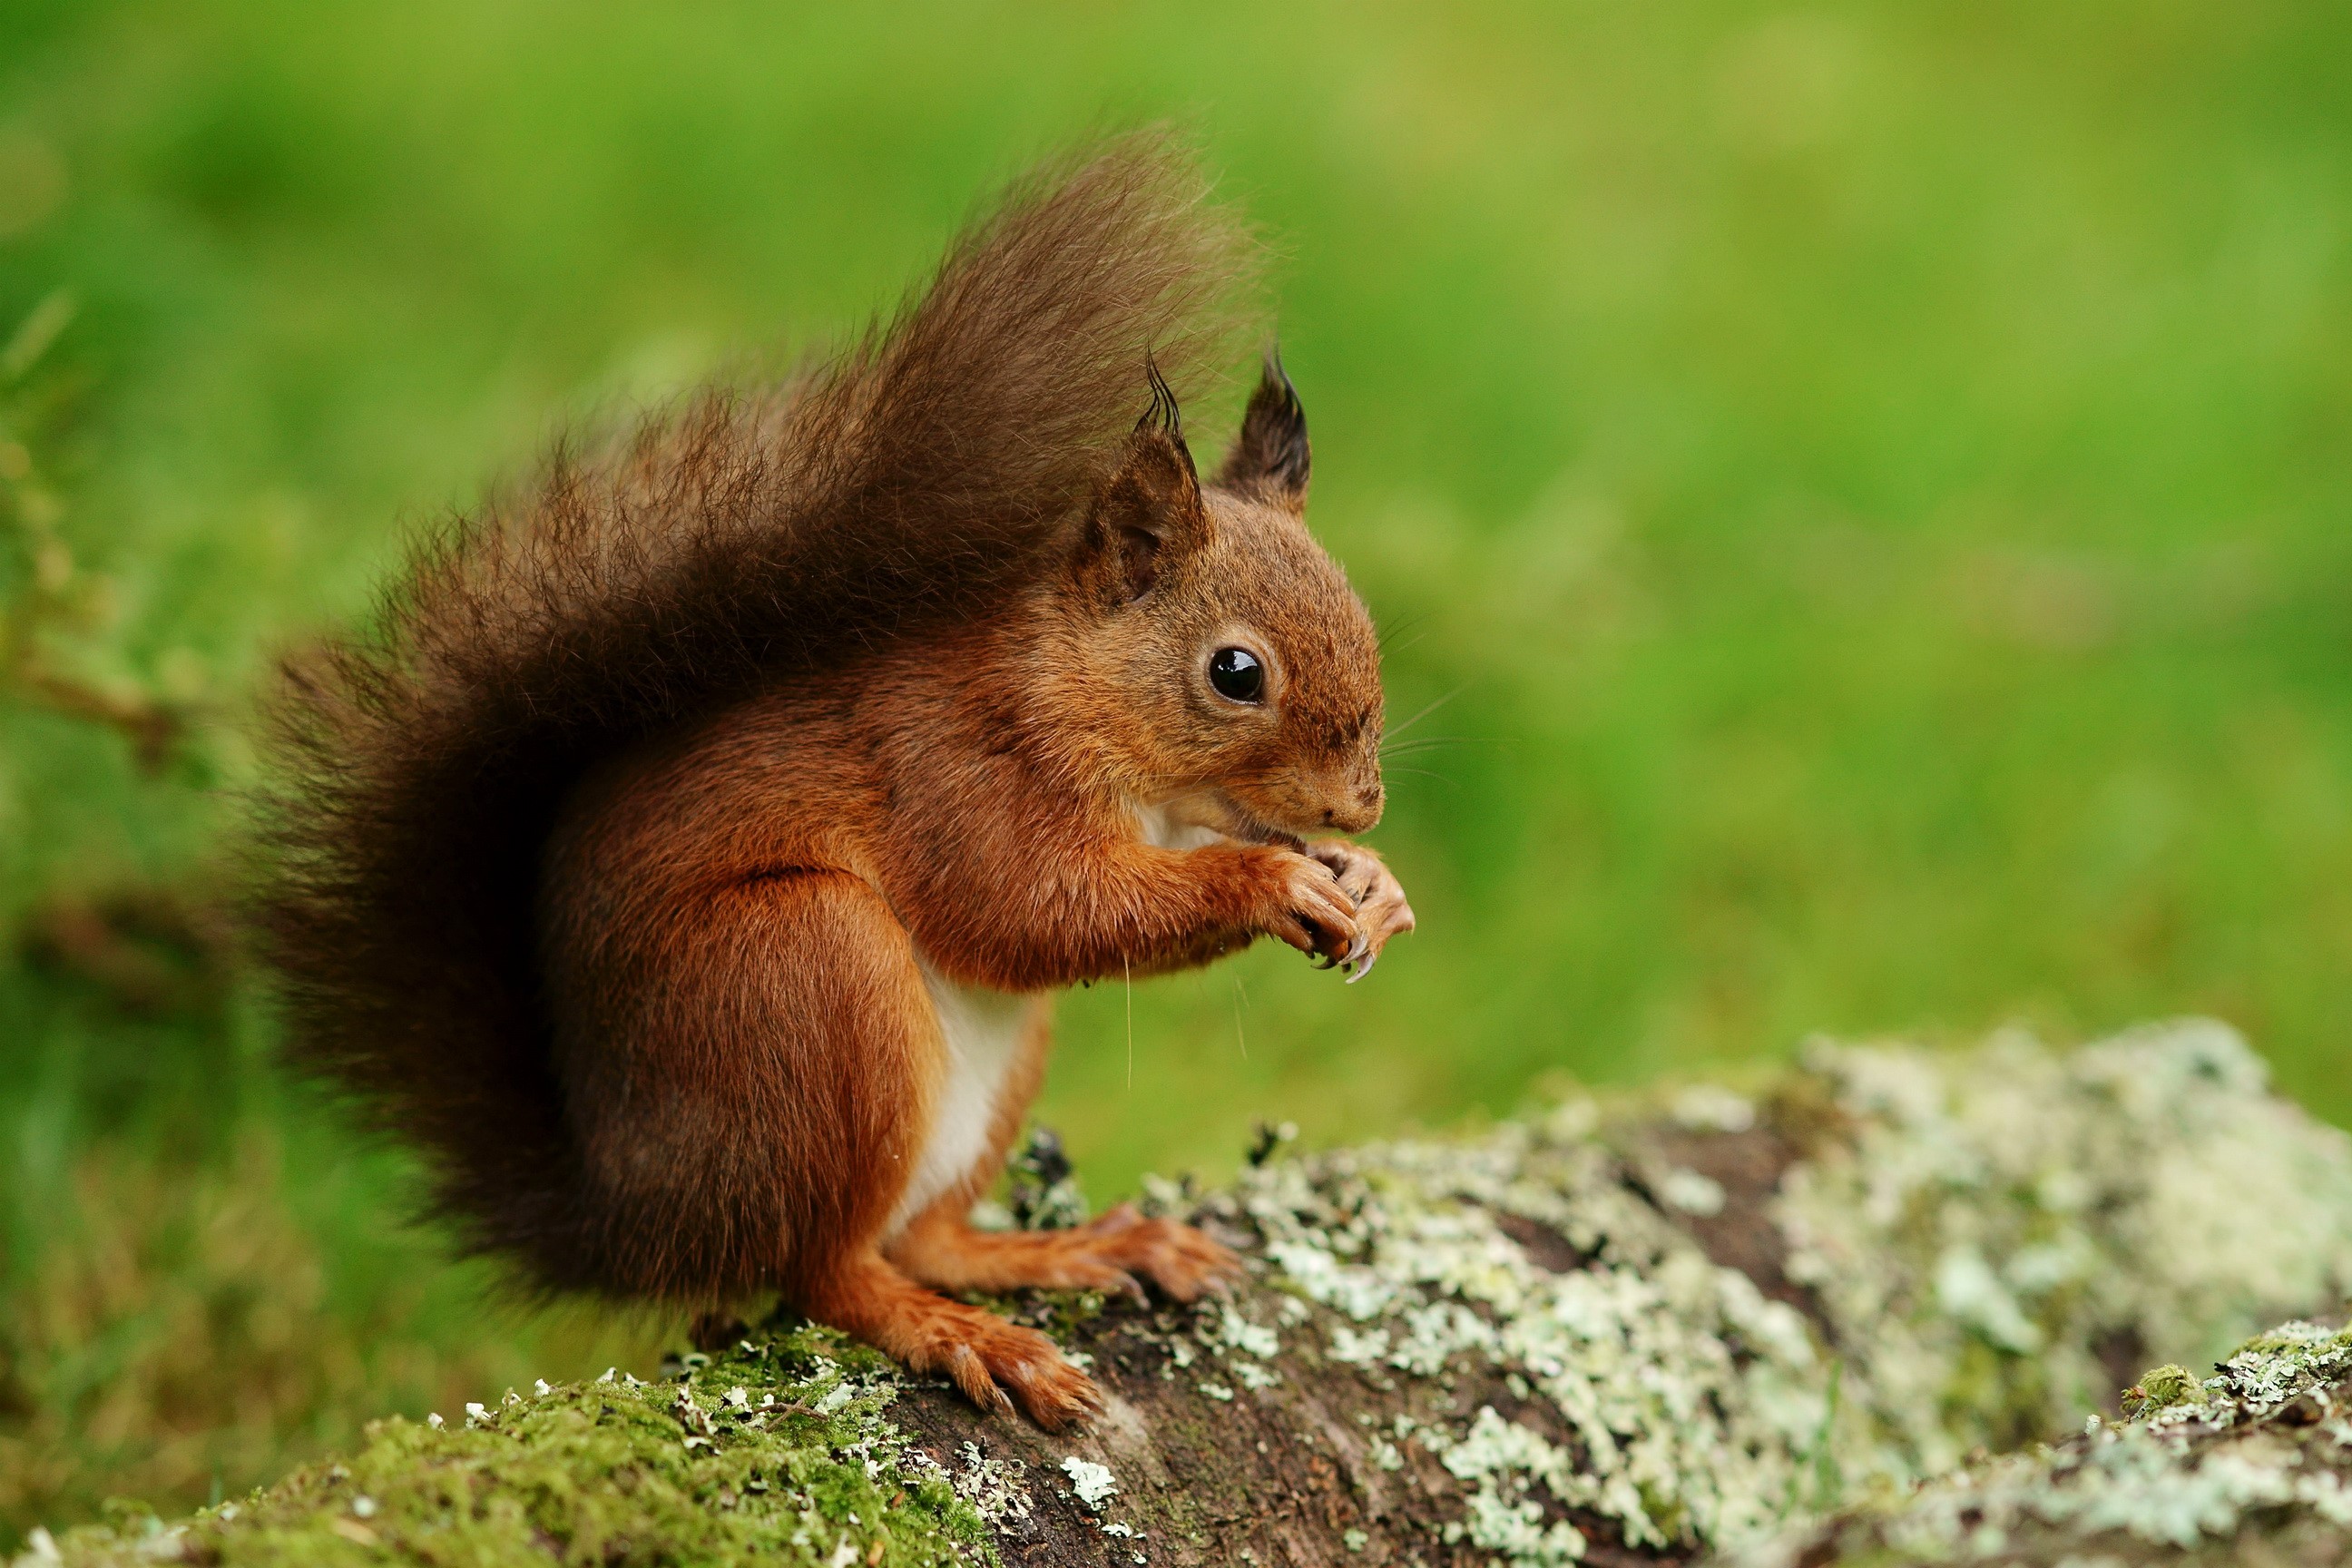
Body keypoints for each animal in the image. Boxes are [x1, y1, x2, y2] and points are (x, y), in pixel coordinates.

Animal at [256, 134, 1414, 1429]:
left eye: (1363, 617)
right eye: (1235, 673)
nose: (1360, 803)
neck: (1077, 694)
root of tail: (635, 1212)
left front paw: (1369, 883)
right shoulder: (955, 764)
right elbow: (1035, 908)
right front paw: (1273, 882)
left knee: (924, 1239)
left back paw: (1073, 1252)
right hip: (801, 975)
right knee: (829, 1270)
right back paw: (960, 1334)